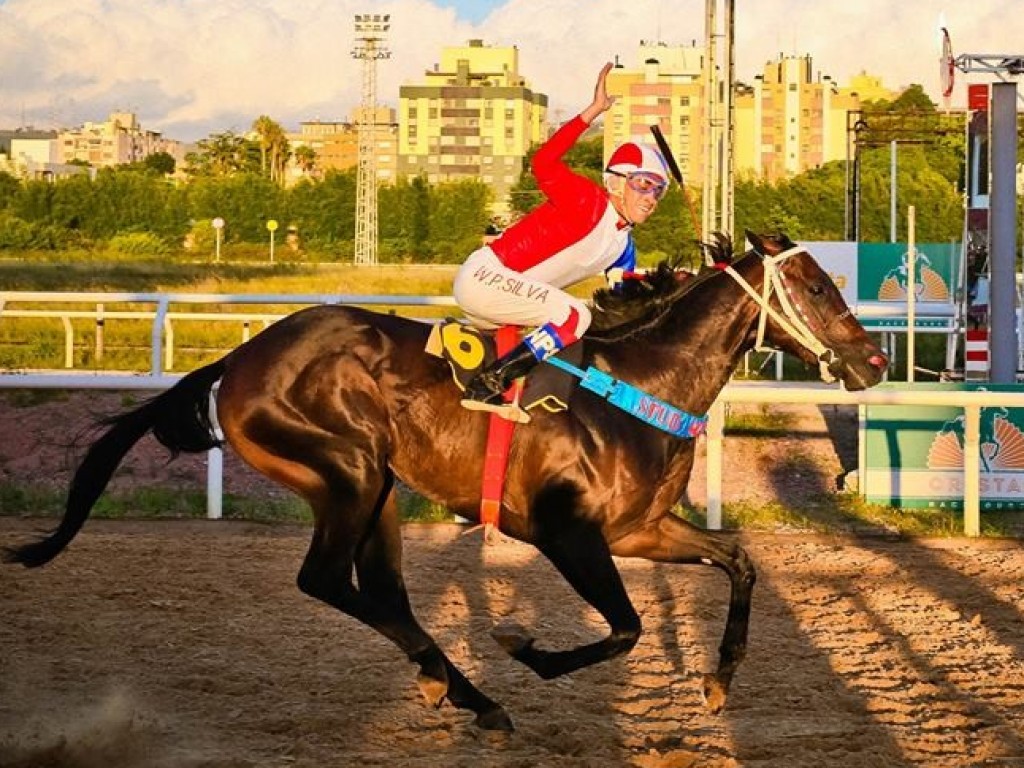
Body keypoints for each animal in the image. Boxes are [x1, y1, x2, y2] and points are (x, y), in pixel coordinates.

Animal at [6, 230, 888, 733]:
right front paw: (522, 648)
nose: (875, 360)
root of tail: (241, 357)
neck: (641, 383)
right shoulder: (567, 531)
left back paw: (452, 687)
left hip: (378, 489)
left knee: (380, 590)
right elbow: (626, 628)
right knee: (325, 579)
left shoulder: (639, 528)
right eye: (816, 286)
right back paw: (471, 692)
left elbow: (740, 562)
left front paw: (717, 682)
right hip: (349, 469)